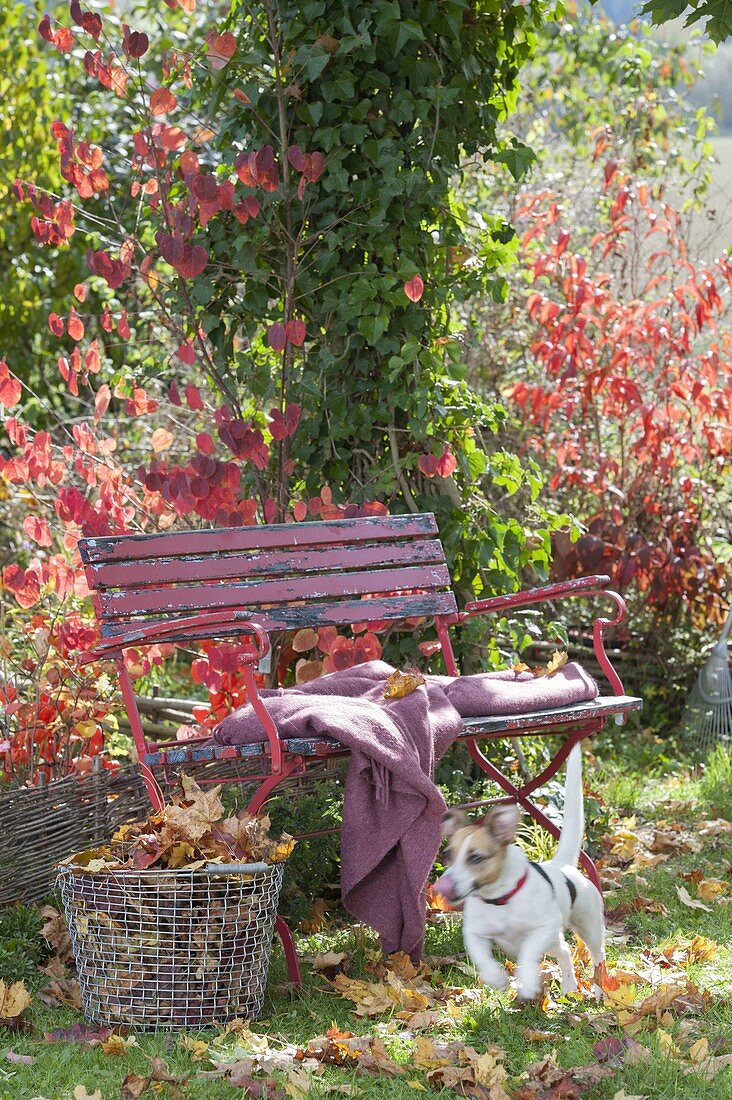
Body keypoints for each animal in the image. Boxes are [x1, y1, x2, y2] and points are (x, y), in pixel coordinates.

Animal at [433, 743, 603, 1003]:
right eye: (447, 854)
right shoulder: (475, 932)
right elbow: (480, 954)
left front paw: (529, 983)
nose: (442, 885)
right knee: (564, 951)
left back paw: (600, 987)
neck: (500, 899)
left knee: (597, 957)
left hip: (588, 928)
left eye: (476, 858)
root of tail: (563, 865)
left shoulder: (543, 929)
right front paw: (496, 977)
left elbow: (527, 952)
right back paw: (568, 986)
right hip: (554, 941)